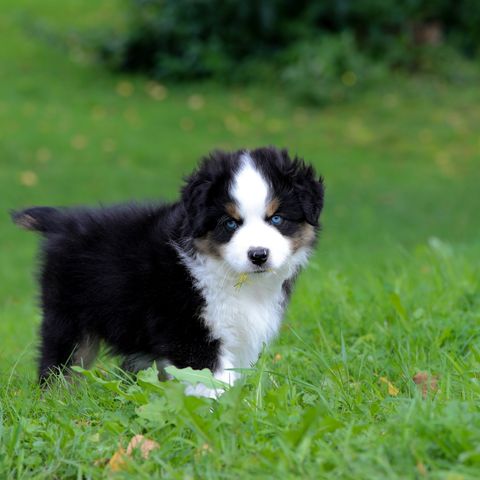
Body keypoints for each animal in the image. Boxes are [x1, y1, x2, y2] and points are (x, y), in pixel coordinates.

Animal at [12, 147, 326, 398]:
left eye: (277, 219)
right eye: (229, 223)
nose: (258, 255)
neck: (229, 275)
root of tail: (63, 220)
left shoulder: (241, 334)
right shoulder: (191, 330)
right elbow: (210, 378)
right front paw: (217, 415)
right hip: (69, 317)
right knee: (60, 365)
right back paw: (57, 401)